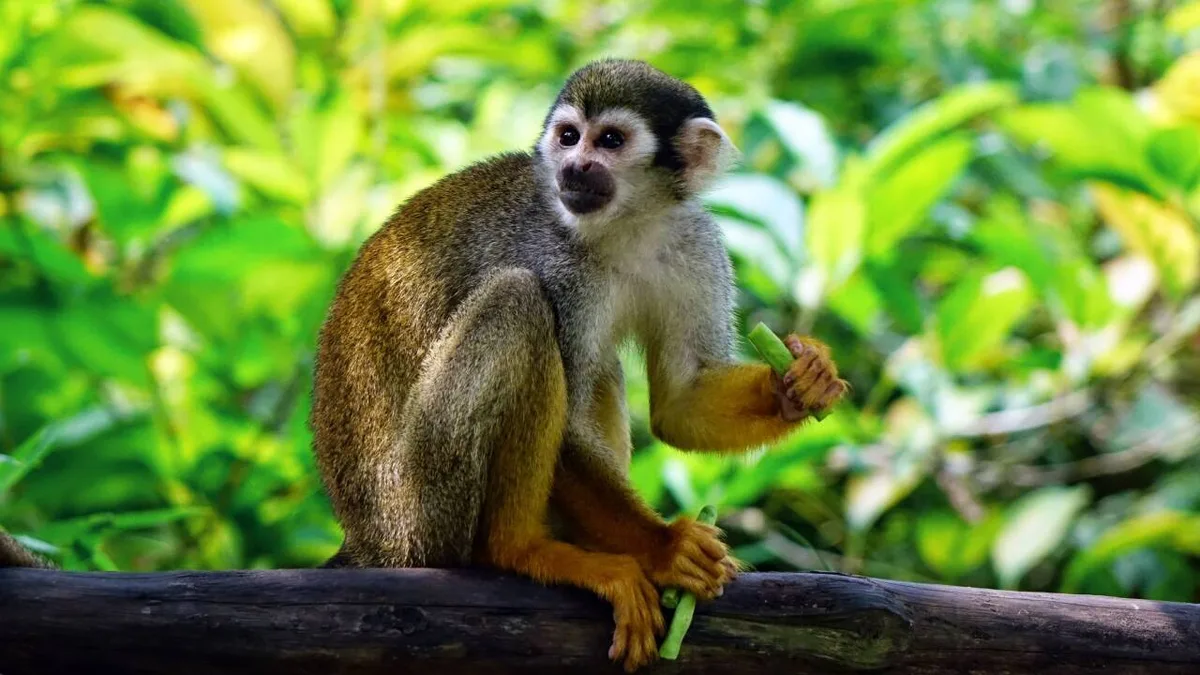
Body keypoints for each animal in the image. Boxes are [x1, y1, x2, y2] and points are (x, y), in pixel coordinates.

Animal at [308, 59, 847, 671]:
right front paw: (666, 548)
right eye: (569, 137)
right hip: (422, 508)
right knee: (519, 302)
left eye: (609, 141)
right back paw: (521, 550)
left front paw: (800, 382)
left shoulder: (695, 243)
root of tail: (367, 539)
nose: (574, 166)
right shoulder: (556, 262)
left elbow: (681, 404)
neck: (626, 226)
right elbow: (566, 429)